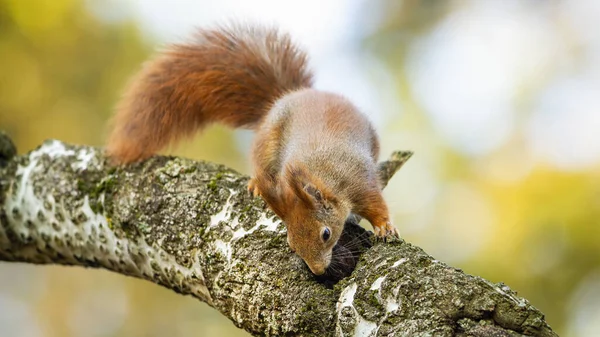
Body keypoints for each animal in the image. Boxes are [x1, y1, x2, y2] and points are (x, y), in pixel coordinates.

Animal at [106, 22, 398, 274]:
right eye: (292, 244)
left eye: (326, 234)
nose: (317, 271)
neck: (323, 174)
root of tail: (293, 95)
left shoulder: (361, 181)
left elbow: (376, 205)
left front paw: (385, 228)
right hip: (267, 143)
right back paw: (257, 184)